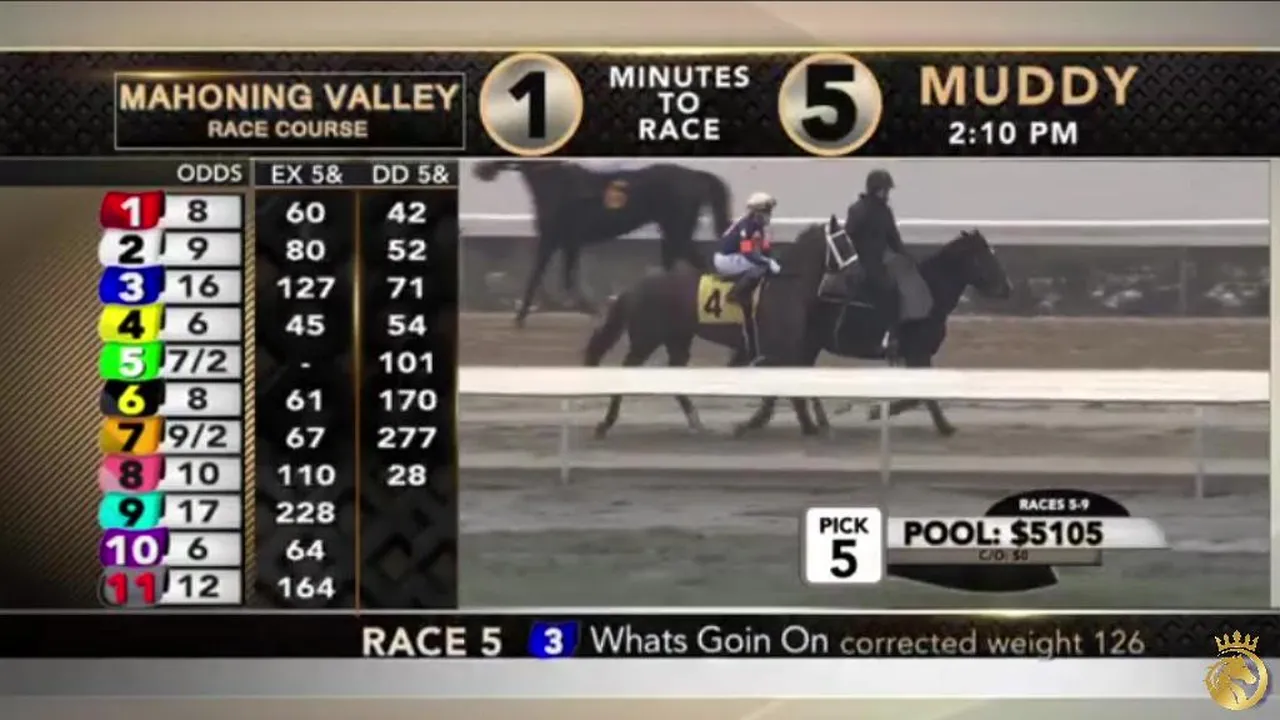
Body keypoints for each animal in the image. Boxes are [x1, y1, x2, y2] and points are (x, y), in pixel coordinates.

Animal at [471, 160, 733, 327]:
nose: (480, 169)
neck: (556, 183)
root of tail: (694, 175)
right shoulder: (569, 242)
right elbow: (563, 278)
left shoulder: (553, 239)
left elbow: (538, 276)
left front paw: (521, 316)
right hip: (672, 233)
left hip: (677, 231)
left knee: (702, 263)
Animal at [582, 221, 842, 438]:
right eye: (845, 239)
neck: (788, 285)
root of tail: (635, 288)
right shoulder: (782, 348)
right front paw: (808, 425)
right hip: (646, 338)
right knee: (627, 370)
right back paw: (605, 424)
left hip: (677, 337)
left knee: (675, 370)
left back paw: (696, 421)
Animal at [736, 222, 1013, 437]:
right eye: (984, 256)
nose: (1007, 287)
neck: (931, 292)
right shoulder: (918, 353)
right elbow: (921, 397)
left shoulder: (915, 356)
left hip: (807, 345)